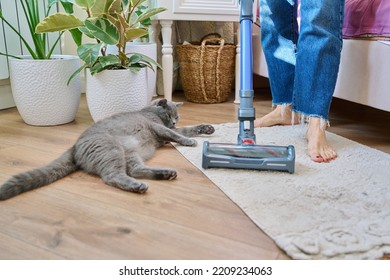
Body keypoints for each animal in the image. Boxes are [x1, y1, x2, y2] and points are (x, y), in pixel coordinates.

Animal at [0, 99, 215, 200]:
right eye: (170, 115)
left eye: (177, 117)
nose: (173, 122)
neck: (148, 111)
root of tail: (75, 146)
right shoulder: (158, 128)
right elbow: (177, 135)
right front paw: (189, 142)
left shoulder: (166, 132)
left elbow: (187, 129)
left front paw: (207, 128)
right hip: (112, 150)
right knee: (112, 176)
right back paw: (139, 186)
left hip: (129, 152)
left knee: (135, 170)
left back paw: (166, 174)